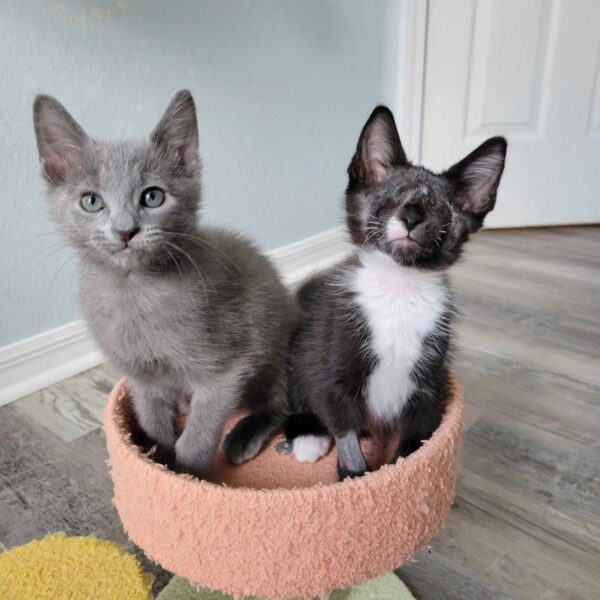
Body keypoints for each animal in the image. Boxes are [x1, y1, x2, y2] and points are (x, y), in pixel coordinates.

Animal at [32, 89, 296, 478]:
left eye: (153, 196)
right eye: (91, 201)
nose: (124, 230)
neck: (133, 292)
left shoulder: (226, 369)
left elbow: (198, 434)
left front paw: (189, 476)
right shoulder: (141, 377)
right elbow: (153, 421)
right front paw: (156, 461)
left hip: (272, 347)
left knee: (280, 401)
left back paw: (244, 436)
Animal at [286, 104, 506, 478]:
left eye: (440, 209)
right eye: (389, 199)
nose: (412, 216)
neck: (399, 286)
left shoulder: (428, 389)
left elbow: (413, 448)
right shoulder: (334, 372)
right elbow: (345, 433)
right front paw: (355, 478)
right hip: (303, 348)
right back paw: (309, 437)